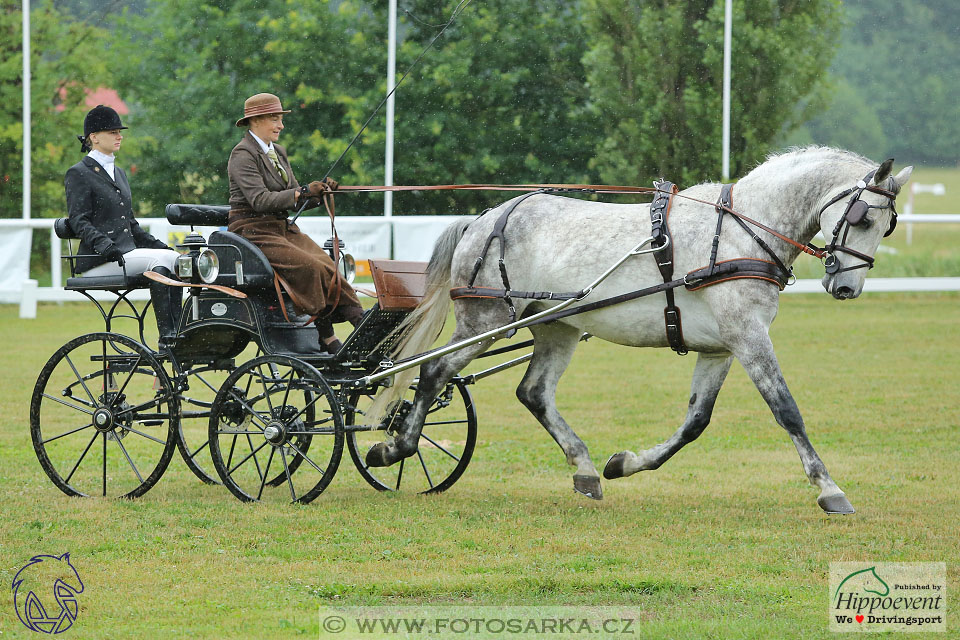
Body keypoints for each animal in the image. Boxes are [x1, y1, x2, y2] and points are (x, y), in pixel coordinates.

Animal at [364, 146, 912, 516]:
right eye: (864, 217)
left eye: (887, 225)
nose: (847, 287)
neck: (742, 230)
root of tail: (486, 218)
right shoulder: (748, 337)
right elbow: (787, 410)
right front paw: (829, 488)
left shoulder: (720, 348)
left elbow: (695, 423)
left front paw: (624, 463)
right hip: (488, 322)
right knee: (433, 372)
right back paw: (395, 447)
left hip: (555, 327)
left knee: (533, 392)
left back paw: (586, 470)